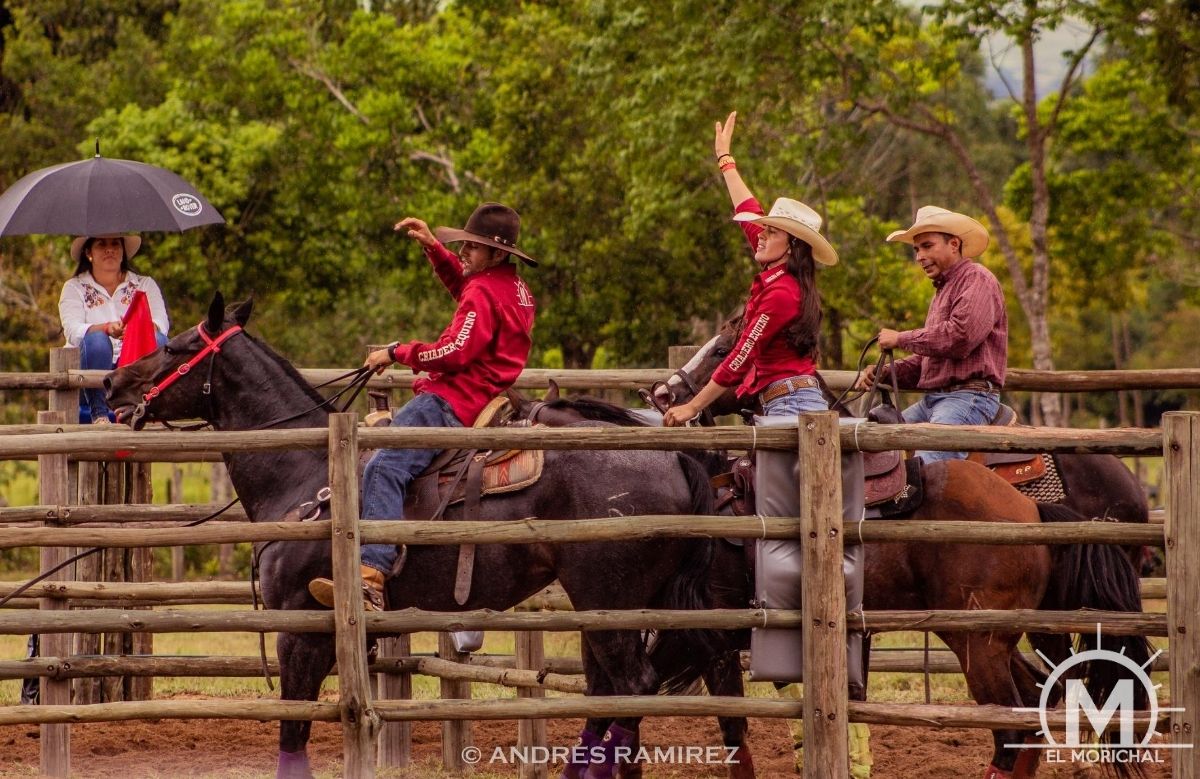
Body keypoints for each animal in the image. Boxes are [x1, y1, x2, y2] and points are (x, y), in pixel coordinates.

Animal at [105, 295, 739, 777]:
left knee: (632, 688)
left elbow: (294, 731)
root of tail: (674, 458)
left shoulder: (301, 629)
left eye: (176, 346)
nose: (112, 382)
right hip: (616, 608)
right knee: (612, 694)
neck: (305, 474)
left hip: (606, 601)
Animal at [508, 388, 1152, 777]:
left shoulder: (703, 638)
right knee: (1033, 706)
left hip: (979, 642)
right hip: (994, 636)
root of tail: (1029, 508)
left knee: (1014, 719)